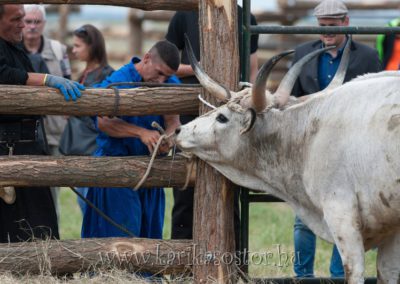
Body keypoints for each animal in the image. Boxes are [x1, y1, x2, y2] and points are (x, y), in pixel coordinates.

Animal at [177, 36, 400, 282]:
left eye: (222, 117)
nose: (179, 130)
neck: (307, 137)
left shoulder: (342, 214)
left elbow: (354, 271)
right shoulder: (392, 228)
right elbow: (388, 271)